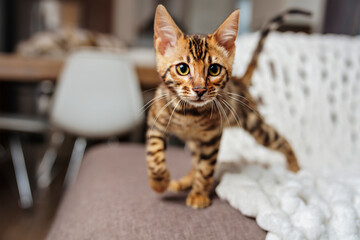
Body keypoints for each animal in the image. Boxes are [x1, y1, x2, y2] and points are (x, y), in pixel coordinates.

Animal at [146, 5, 310, 208]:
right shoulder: (155, 121)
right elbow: (154, 155)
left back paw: (295, 169)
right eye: (182, 69)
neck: (188, 114)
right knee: (195, 159)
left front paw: (199, 195)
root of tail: (240, 81)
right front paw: (159, 182)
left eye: (214, 69)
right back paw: (186, 181)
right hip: (195, 142)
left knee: (282, 140)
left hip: (255, 125)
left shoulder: (212, 137)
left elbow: (206, 168)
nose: (199, 90)